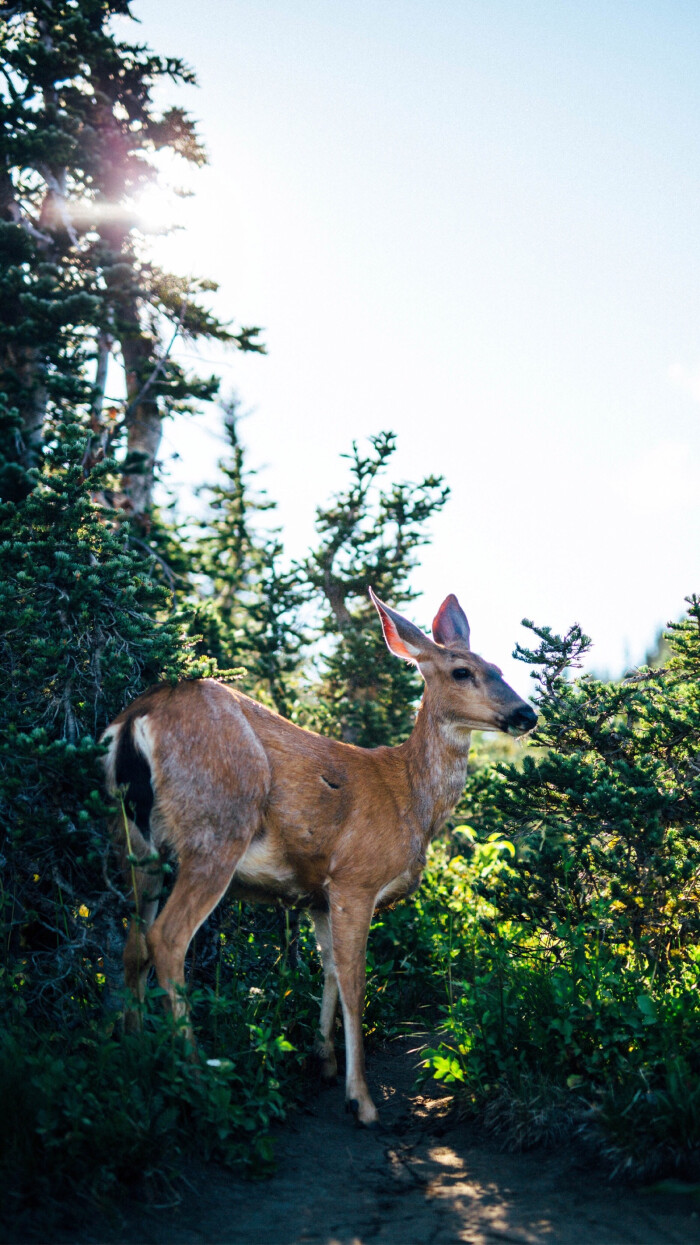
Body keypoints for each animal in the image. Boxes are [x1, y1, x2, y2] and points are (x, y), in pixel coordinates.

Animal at [100, 592, 533, 1130]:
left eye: (499, 667)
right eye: (462, 671)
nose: (527, 713)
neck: (409, 796)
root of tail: (135, 719)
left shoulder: (318, 895)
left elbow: (326, 969)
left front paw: (322, 1060)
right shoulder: (355, 878)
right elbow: (354, 981)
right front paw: (360, 1098)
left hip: (135, 843)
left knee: (133, 944)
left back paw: (137, 1052)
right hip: (217, 826)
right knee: (167, 938)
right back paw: (198, 1079)